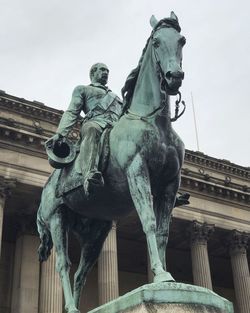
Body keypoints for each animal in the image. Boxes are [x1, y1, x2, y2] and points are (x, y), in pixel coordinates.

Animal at [36, 12, 186, 312]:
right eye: (156, 41)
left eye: (182, 41)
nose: (174, 76)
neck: (154, 121)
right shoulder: (137, 170)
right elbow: (149, 222)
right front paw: (161, 274)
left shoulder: (169, 184)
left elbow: (163, 232)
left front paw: (166, 274)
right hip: (57, 218)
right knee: (63, 264)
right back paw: (71, 307)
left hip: (97, 230)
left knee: (81, 272)